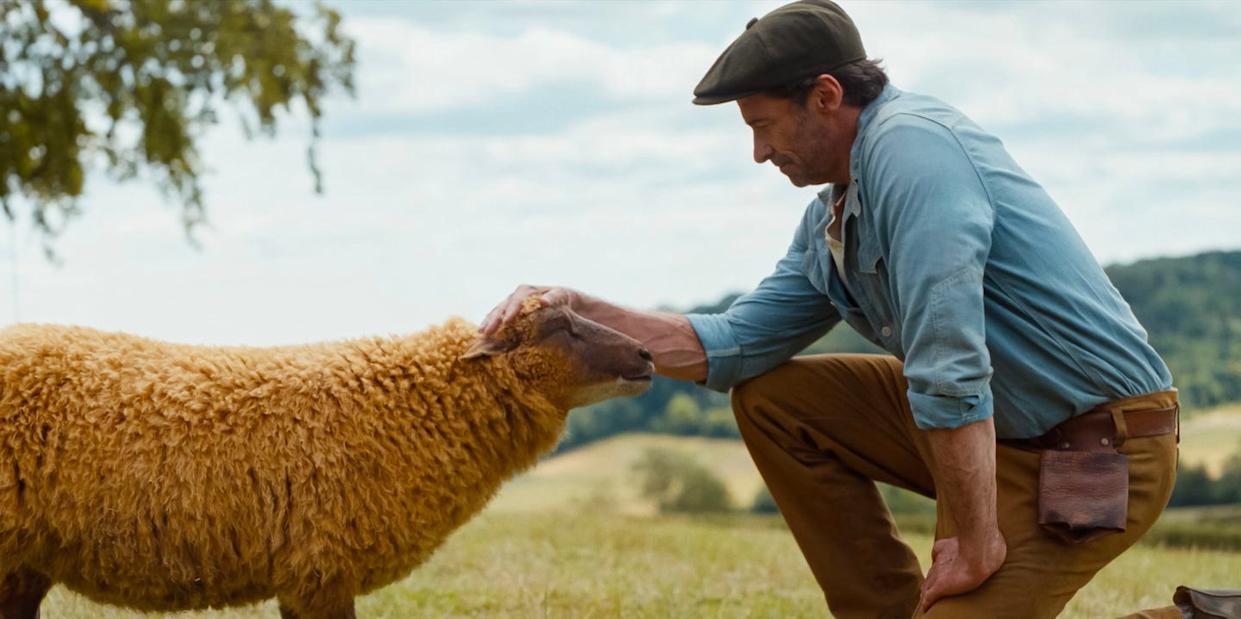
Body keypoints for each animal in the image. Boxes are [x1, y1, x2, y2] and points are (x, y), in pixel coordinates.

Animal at [0, 300, 654, 619]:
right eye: (561, 327)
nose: (647, 355)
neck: (400, 408)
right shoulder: (322, 568)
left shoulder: (304, 578)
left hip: (24, 562)